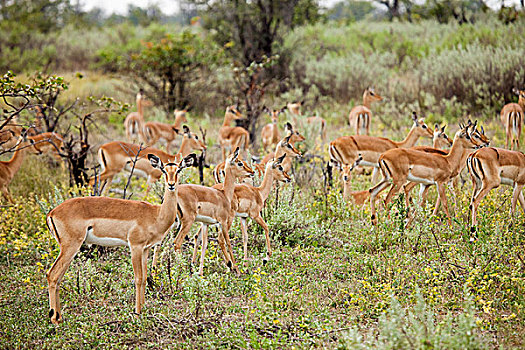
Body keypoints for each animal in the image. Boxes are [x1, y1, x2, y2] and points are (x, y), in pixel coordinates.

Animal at [45, 154, 195, 324]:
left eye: (178, 170)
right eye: (163, 170)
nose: (171, 185)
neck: (156, 215)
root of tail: (52, 213)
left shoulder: (146, 249)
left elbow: (145, 278)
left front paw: (143, 309)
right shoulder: (135, 246)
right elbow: (138, 278)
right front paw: (137, 313)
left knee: (58, 277)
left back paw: (59, 317)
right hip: (71, 246)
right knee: (52, 275)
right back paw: (54, 319)